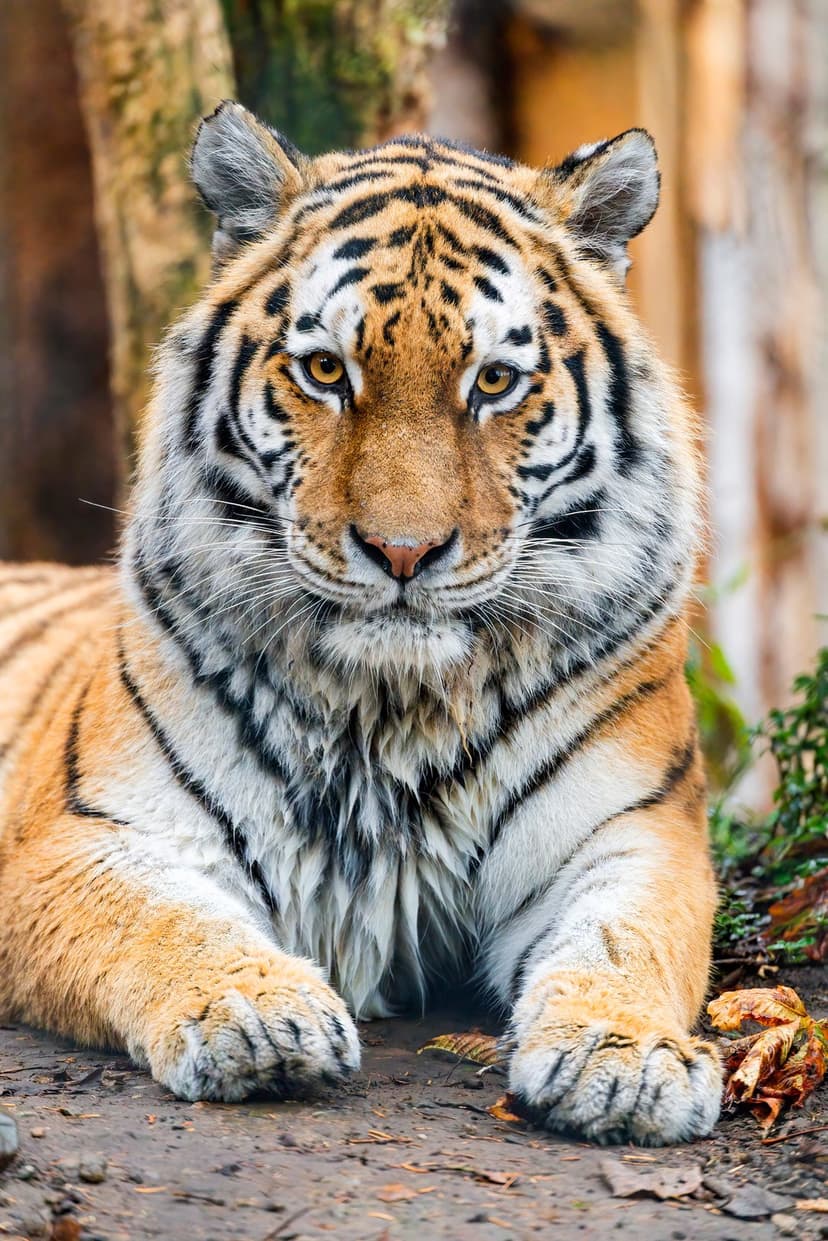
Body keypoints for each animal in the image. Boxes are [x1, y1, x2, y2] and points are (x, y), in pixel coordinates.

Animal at [0, 101, 722, 1145]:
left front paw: (625, 1061)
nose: (403, 552)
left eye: (494, 382)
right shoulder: (84, 836)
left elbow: (624, 941)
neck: (393, 708)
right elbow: (163, 919)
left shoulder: (632, 832)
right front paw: (254, 1010)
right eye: (325, 371)